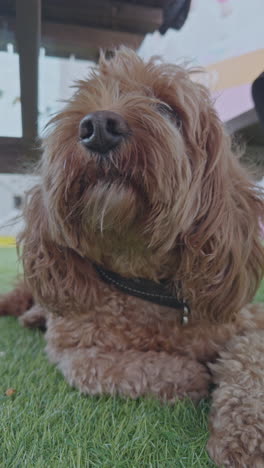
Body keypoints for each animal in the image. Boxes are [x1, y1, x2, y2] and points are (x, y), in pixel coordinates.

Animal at [0, 47, 264, 464]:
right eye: (86, 102)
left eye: (167, 109)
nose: (98, 126)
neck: (140, 280)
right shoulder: (73, 351)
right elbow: (125, 367)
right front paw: (193, 374)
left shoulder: (247, 320)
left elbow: (248, 358)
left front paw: (245, 438)